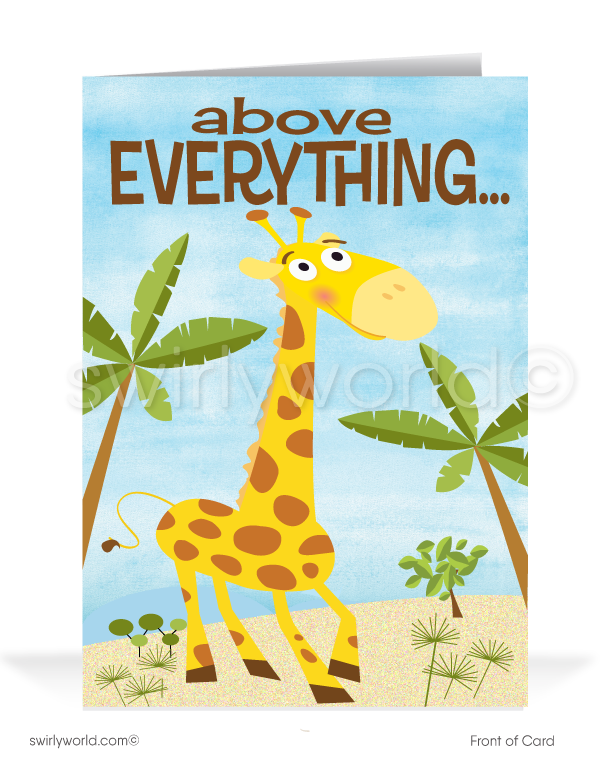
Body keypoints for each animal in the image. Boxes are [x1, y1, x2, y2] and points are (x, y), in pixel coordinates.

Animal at [112, 207, 437, 704]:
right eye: (301, 267)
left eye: (337, 251)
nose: (400, 296)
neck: (287, 514)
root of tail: (171, 505)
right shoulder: (279, 588)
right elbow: (294, 633)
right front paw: (329, 688)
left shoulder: (316, 580)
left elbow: (347, 614)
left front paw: (347, 667)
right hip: (181, 561)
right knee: (194, 604)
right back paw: (203, 671)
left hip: (218, 569)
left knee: (223, 599)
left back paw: (259, 666)